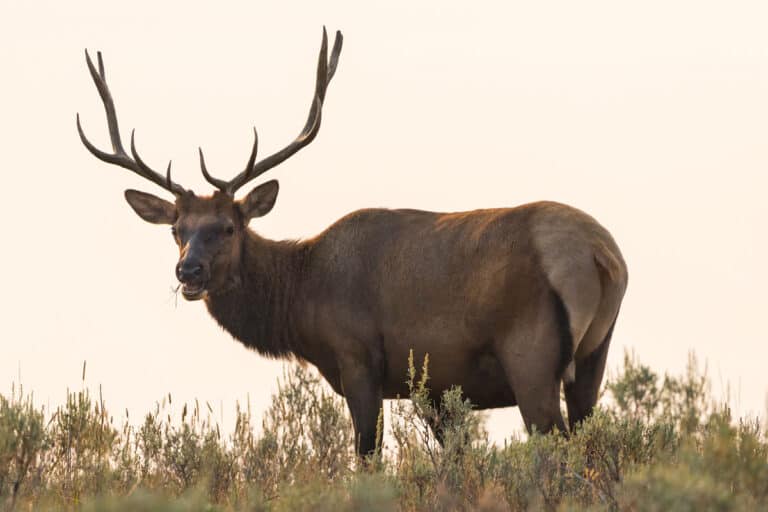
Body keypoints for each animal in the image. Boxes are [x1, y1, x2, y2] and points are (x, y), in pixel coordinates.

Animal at [79, 30, 632, 458]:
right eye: (177, 230)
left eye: (229, 227)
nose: (188, 272)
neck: (302, 301)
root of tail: (601, 256)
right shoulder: (436, 388)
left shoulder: (358, 359)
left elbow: (367, 459)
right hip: (594, 356)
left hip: (531, 354)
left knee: (556, 451)